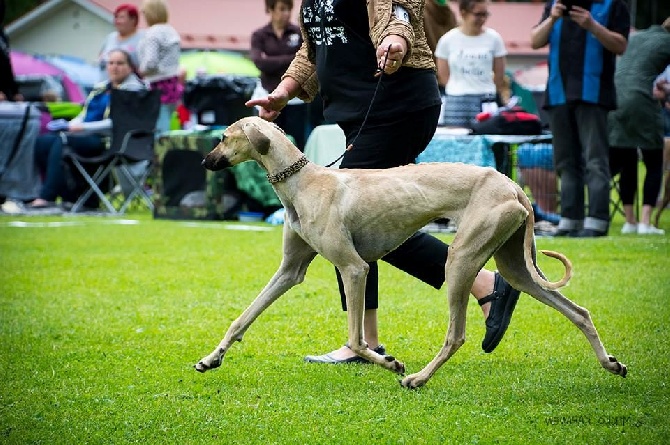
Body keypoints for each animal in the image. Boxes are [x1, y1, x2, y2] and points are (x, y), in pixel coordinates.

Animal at [196, 116, 632, 386]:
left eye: (223, 137)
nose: (204, 160)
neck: (303, 182)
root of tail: (512, 185)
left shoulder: (354, 268)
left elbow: (358, 338)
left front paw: (390, 362)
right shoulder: (290, 270)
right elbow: (243, 318)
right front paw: (211, 358)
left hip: (461, 259)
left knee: (456, 334)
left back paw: (418, 378)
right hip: (516, 265)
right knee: (578, 311)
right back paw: (610, 363)